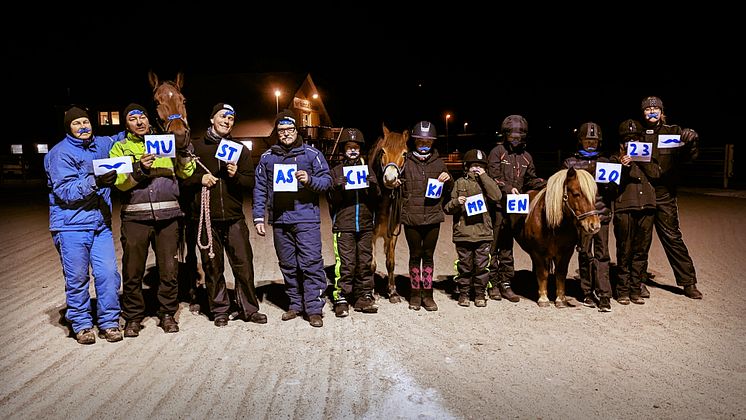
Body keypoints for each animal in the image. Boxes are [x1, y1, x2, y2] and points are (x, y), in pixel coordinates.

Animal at [516, 167, 600, 308]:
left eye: (594, 196)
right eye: (576, 193)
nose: (594, 225)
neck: (552, 226)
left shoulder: (566, 252)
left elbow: (560, 273)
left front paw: (561, 299)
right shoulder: (537, 253)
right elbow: (542, 273)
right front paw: (543, 298)